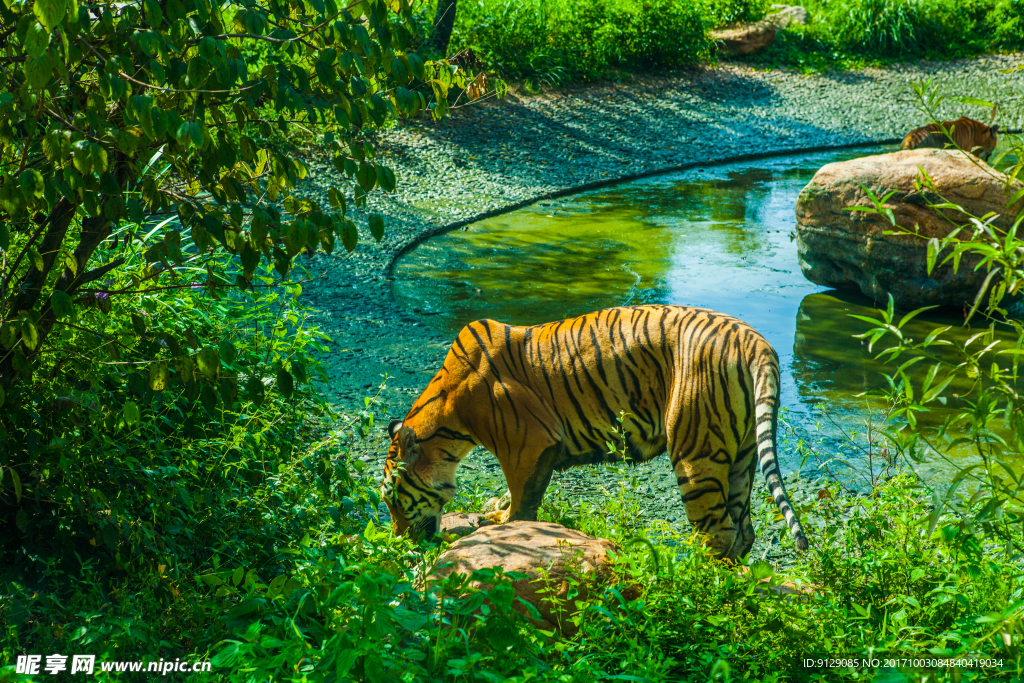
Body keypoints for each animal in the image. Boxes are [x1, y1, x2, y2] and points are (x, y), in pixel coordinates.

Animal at [380, 305, 811, 561]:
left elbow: (522, 499)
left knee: (717, 533)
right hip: (741, 455)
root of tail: (755, 342)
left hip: (696, 452)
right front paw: (496, 512)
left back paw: (692, 578)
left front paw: (503, 525)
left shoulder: (528, 445)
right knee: (743, 531)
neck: (449, 414)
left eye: (393, 498)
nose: (399, 540)